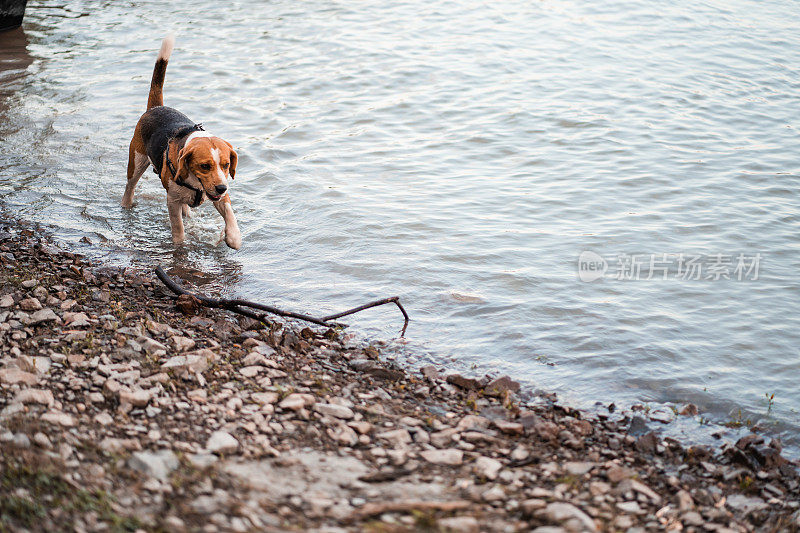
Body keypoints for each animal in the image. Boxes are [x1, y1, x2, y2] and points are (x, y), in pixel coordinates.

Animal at [120, 37, 242, 249]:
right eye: (204, 166)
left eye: (226, 165)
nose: (221, 188)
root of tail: (155, 107)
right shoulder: (172, 200)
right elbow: (178, 228)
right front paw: (179, 245)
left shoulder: (220, 193)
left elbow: (229, 212)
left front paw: (234, 237)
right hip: (136, 161)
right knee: (130, 187)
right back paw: (126, 205)